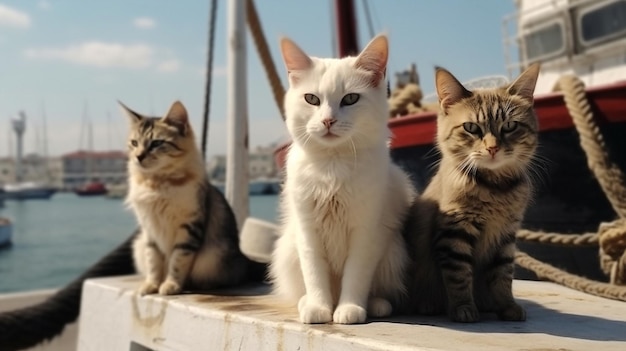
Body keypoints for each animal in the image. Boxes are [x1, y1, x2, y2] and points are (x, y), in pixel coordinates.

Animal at [120, 100, 262, 296]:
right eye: (134, 143)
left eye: (156, 143)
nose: (138, 156)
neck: (157, 182)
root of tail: (244, 258)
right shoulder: (149, 231)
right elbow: (153, 263)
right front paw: (151, 285)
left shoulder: (189, 227)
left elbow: (177, 262)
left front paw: (170, 285)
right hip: (138, 245)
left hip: (214, 256)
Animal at [268, 34, 414, 326]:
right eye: (311, 99)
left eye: (351, 99)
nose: (328, 121)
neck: (332, 165)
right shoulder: (307, 231)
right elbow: (314, 275)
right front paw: (319, 308)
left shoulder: (366, 231)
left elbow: (356, 275)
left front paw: (349, 309)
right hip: (288, 250)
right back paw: (306, 302)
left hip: (393, 253)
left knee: (377, 289)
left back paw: (376, 305)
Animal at [402, 64, 540, 324]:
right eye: (471, 128)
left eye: (510, 126)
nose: (493, 148)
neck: (495, 188)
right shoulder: (454, 233)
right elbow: (459, 276)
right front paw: (463, 307)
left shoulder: (506, 237)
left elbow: (503, 276)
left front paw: (507, 306)